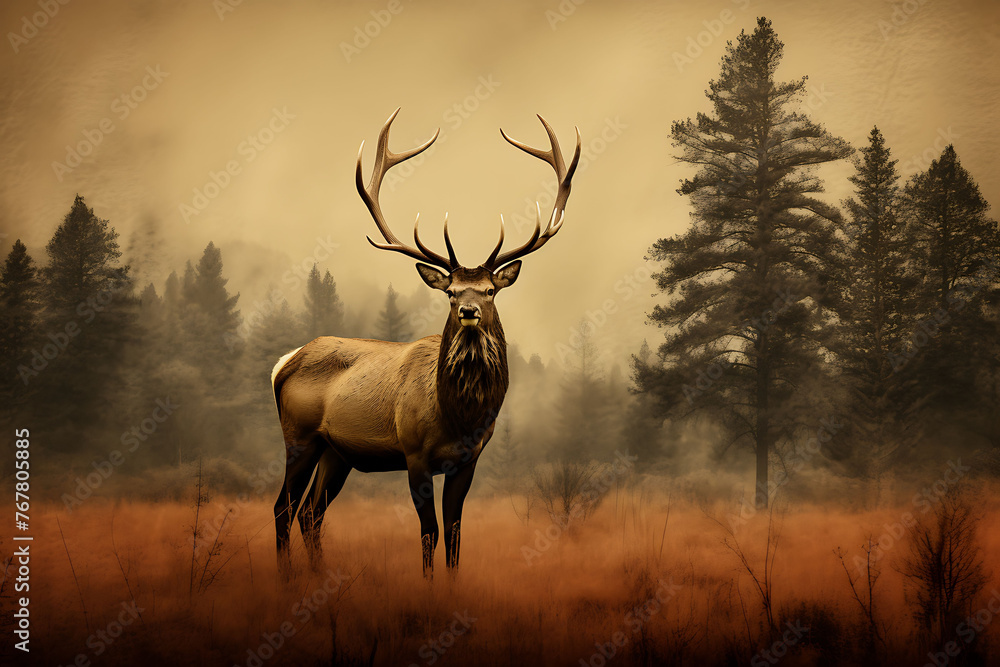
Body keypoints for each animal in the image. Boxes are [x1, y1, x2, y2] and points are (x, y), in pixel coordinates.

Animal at [271, 108, 580, 577]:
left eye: (490, 291)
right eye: (450, 291)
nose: (468, 310)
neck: (457, 416)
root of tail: (286, 361)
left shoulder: (468, 460)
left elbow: (454, 535)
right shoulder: (414, 453)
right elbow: (429, 532)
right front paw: (428, 587)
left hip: (336, 452)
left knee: (310, 513)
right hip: (299, 436)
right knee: (283, 509)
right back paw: (288, 579)